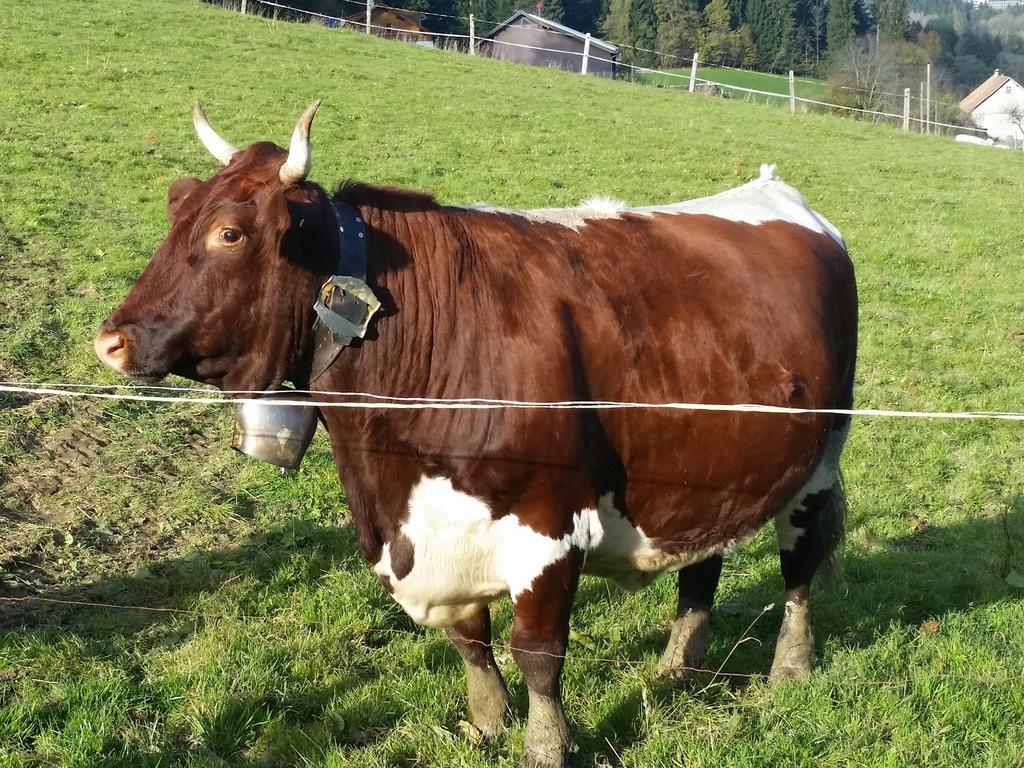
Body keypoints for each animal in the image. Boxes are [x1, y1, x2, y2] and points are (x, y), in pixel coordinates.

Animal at [97, 102, 856, 768]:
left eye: (229, 233)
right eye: (176, 206)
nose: (111, 341)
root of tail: (777, 191)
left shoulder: (550, 523)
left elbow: (538, 652)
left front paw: (547, 746)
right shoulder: (434, 524)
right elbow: (470, 638)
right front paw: (488, 721)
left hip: (819, 461)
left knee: (800, 561)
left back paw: (791, 666)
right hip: (716, 461)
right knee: (704, 559)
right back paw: (678, 667)